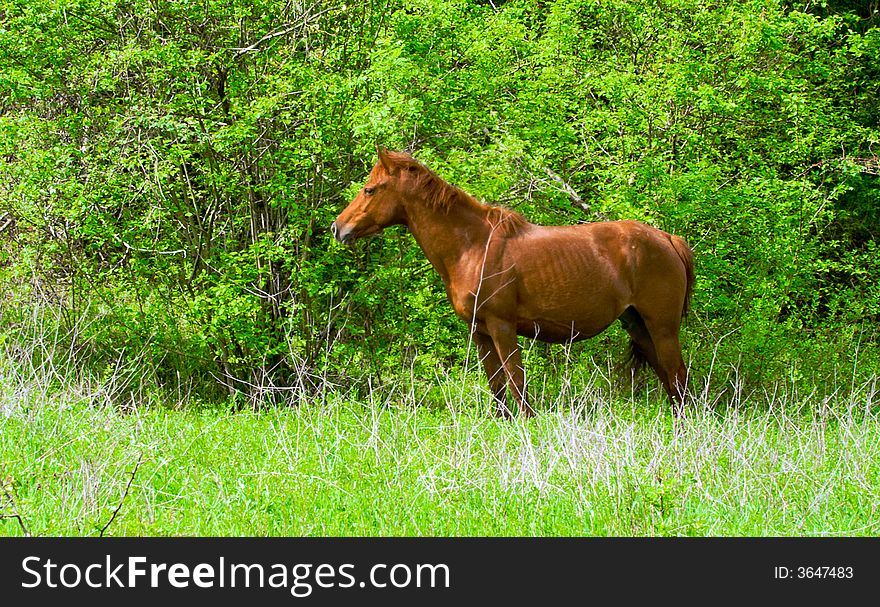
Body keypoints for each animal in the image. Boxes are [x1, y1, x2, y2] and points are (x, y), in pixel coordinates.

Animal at [330, 147, 696, 418]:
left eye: (370, 189)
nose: (338, 228)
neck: (472, 246)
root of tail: (668, 239)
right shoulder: (480, 332)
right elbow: (498, 389)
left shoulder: (502, 327)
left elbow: (517, 384)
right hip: (638, 325)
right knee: (671, 382)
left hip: (662, 327)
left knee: (678, 378)